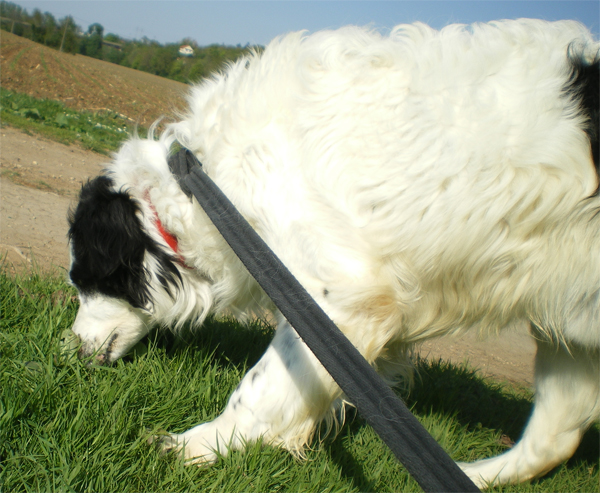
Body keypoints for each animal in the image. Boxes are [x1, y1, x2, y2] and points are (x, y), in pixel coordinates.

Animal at [68, 20, 596, 488]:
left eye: (83, 280)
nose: (66, 351)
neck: (201, 186)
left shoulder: (341, 299)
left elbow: (260, 389)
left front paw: (192, 446)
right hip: (572, 336)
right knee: (552, 441)